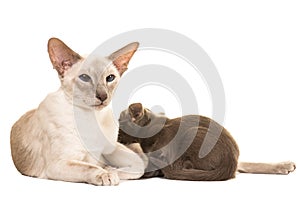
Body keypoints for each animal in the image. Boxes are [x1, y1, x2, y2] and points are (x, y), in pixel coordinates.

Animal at [11, 38, 147, 186]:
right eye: (85, 78)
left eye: (110, 78)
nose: (103, 96)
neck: (92, 118)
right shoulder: (58, 164)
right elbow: (89, 167)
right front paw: (107, 173)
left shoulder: (111, 149)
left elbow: (139, 167)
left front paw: (111, 170)